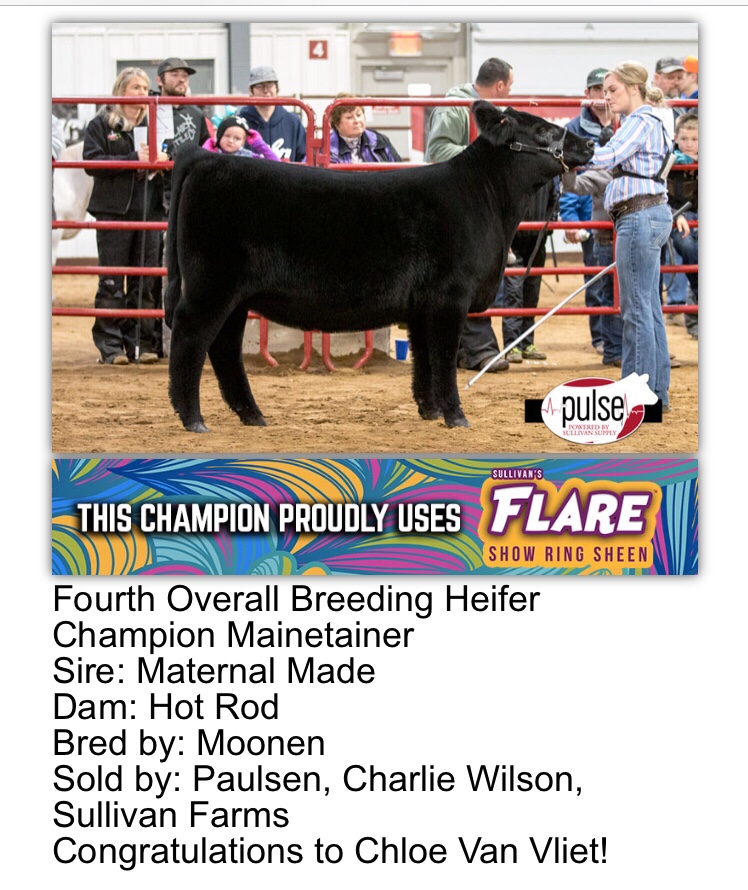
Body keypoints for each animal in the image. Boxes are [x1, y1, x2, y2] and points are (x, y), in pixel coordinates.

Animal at [164, 101, 594, 432]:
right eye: (542, 129)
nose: (590, 142)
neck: (484, 199)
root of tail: (205, 159)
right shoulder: (449, 298)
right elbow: (443, 360)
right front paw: (456, 416)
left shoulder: (422, 306)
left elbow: (423, 360)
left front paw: (429, 411)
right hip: (211, 285)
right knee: (190, 338)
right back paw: (193, 419)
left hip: (236, 296)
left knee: (223, 347)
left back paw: (252, 415)